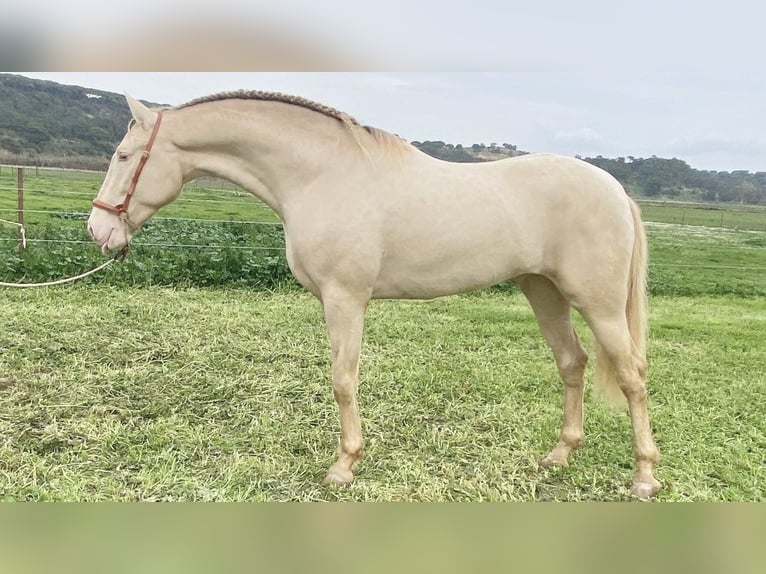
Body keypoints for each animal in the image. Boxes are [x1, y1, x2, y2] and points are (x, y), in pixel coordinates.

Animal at [87, 90, 664, 500]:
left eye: (123, 155)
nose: (98, 230)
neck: (321, 174)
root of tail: (615, 189)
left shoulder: (345, 299)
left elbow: (343, 381)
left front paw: (344, 466)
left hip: (598, 304)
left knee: (633, 376)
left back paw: (644, 477)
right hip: (544, 292)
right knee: (572, 363)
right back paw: (559, 456)